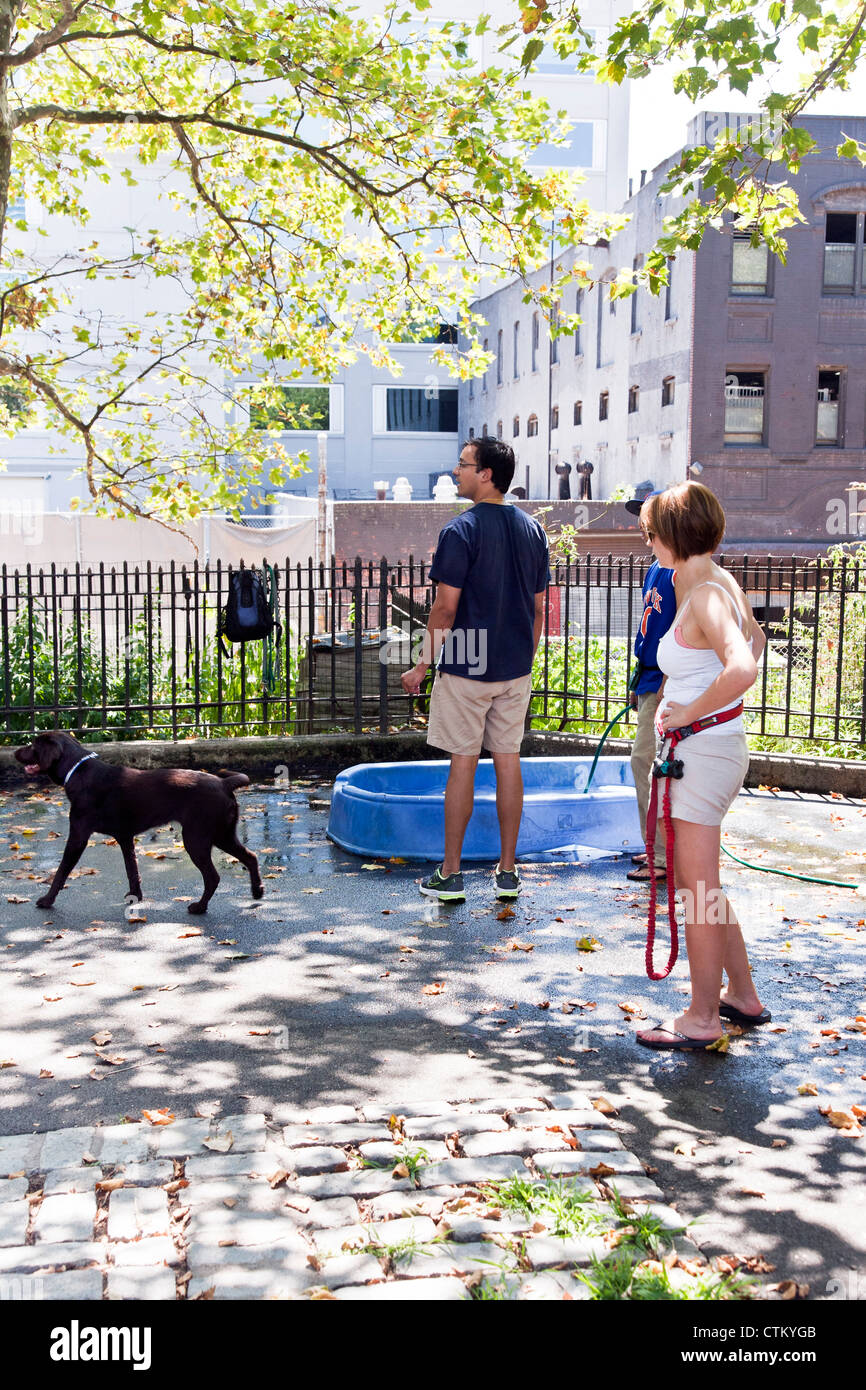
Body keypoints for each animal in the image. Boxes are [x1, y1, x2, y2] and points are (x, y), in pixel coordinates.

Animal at [13, 733, 262, 917]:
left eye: (33, 745)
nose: (15, 752)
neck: (78, 770)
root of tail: (224, 782)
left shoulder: (78, 836)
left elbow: (61, 871)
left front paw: (47, 900)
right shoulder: (125, 837)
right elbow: (131, 869)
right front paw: (136, 896)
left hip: (196, 838)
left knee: (213, 877)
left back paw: (199, 907)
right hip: (222, 834)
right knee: (251, 856)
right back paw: (257, 891)